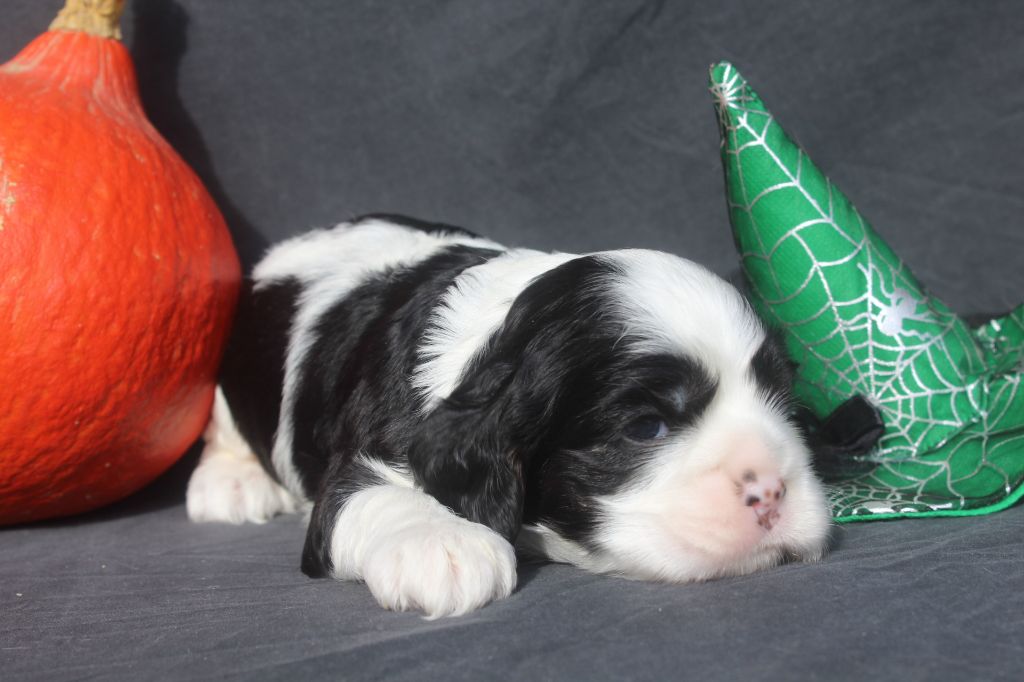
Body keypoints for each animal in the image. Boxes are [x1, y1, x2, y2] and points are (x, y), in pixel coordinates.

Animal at [188, 214, 835, 614]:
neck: (497, 337)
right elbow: (365, 494)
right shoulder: (367, 449)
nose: (772, 491)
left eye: (784, 405)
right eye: (645, 428)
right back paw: (231, 484)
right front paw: (443, 545)